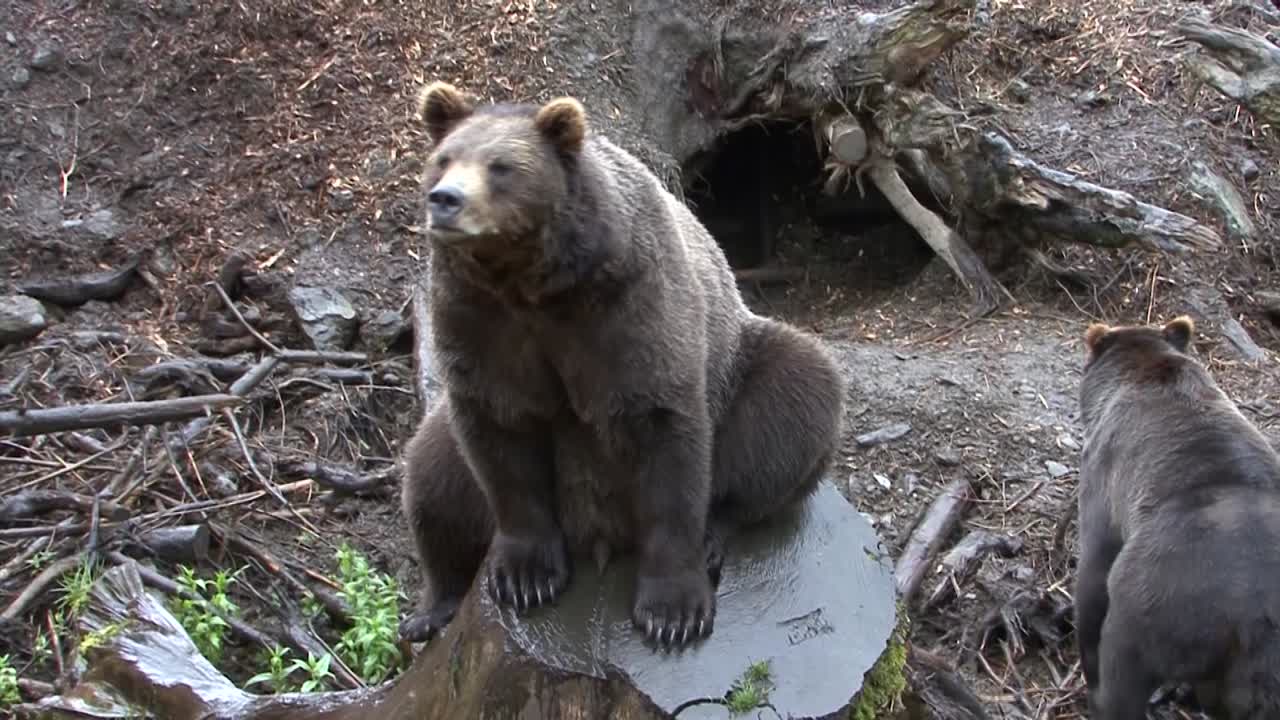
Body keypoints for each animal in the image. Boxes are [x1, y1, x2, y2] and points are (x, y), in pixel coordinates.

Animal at [396, 81, 846, 650]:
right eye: (444, 158)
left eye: (502, 166)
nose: (446, 200)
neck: (531, 284)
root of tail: (598, 535)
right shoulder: (480, 322)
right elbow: (500, 438)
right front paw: (525, 576)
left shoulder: (629, 311)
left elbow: (664, 436)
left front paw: (673, 611)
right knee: (432, 480)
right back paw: (433, 607)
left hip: (745, 368)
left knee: (796, 398)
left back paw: (717, 530)